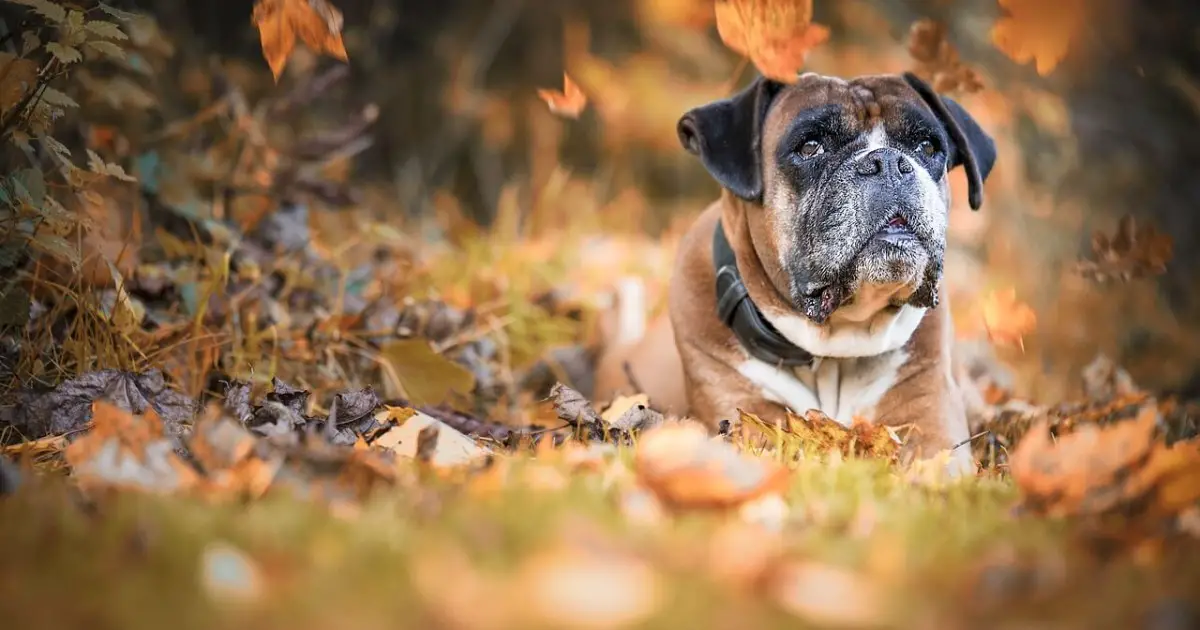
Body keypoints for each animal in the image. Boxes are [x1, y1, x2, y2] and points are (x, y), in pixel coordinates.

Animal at [590, 71, 993, 475]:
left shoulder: (929, 419)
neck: (835, 346)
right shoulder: (747, 418)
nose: (890, 162)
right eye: (811, 147)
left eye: (927, 146)